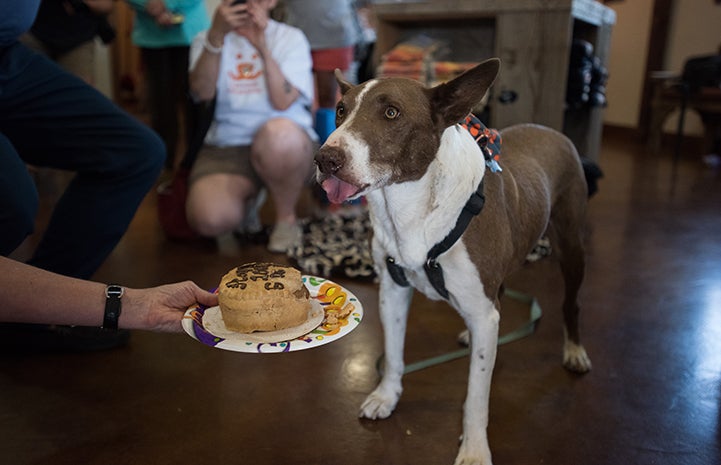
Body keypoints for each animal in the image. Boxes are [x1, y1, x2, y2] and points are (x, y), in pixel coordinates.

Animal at [316, 59, 592, 464]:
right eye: (340, 110)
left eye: (391, 113)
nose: (324, 159)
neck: (408, 205)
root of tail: (552, 131)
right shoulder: (392, 291)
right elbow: (394, 353)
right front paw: (387, 396)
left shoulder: (482, 310)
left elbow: (476, 397)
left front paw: (474, 449)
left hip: (571, 245)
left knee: (571, 302)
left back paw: (574, 351)